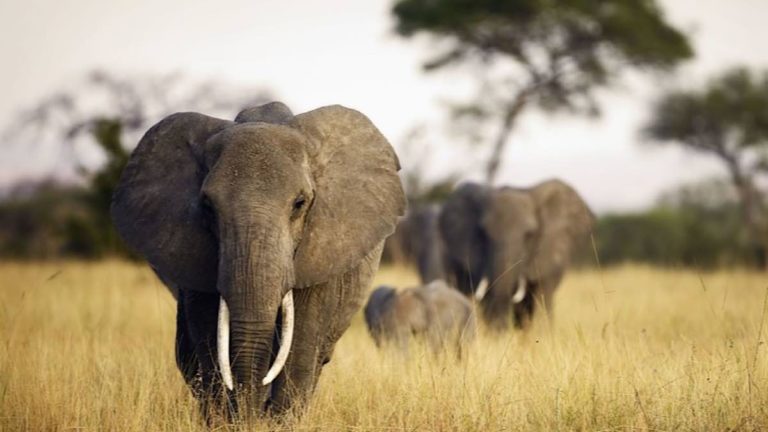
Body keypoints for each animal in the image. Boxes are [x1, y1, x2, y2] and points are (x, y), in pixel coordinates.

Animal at [111, 102, 406, 419]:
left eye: (300, 204)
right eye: (208, 206)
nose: (252, 414)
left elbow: (300, 346)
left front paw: (276, 420)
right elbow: (209, 338)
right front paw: (229, 419)